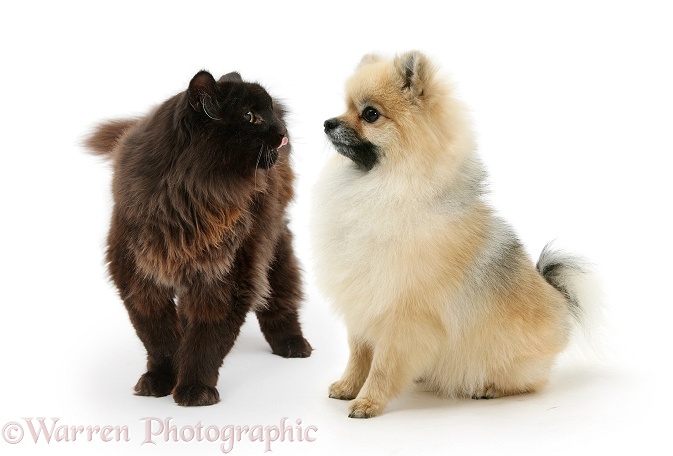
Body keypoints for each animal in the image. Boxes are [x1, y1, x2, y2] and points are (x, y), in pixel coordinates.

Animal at [308, 50, 592, 416]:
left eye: (370, 114)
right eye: (344, 107)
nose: (328, 123)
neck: (387, 186)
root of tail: (559, 301)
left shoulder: (403, 314)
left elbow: (383, 364)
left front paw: (369, 401)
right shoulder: (363, 302)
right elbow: (359, 354)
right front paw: (348, 387)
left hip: (510, 358)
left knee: (529, 382)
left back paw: (488, 388)